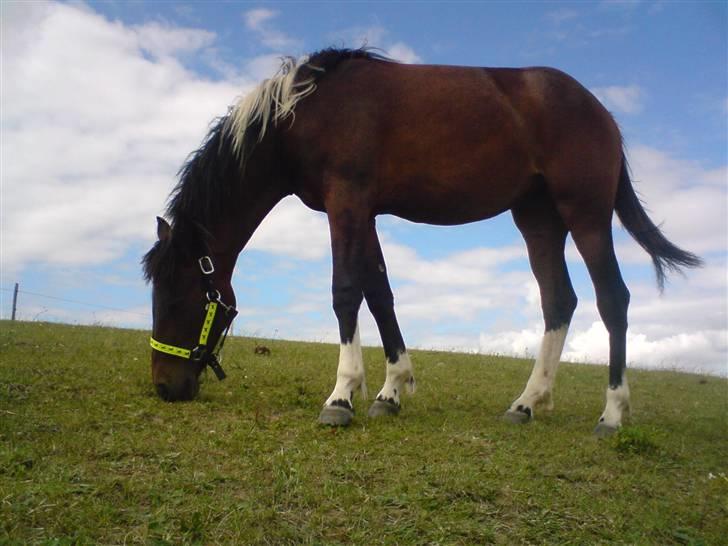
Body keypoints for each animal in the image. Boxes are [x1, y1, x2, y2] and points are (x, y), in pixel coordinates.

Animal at [142, 49, 700, 436]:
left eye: (178, 299)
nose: (164, 388)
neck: (304, 114)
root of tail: (600, 111)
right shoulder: (363, 212)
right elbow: (379, 294)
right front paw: (389, 391)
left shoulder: (347, 203)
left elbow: (345, 292)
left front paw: (341, 396)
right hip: (538, 221)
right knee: (558, 301)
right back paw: (526, 404)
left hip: (586, 216)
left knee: (613, 301)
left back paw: (612, 414)